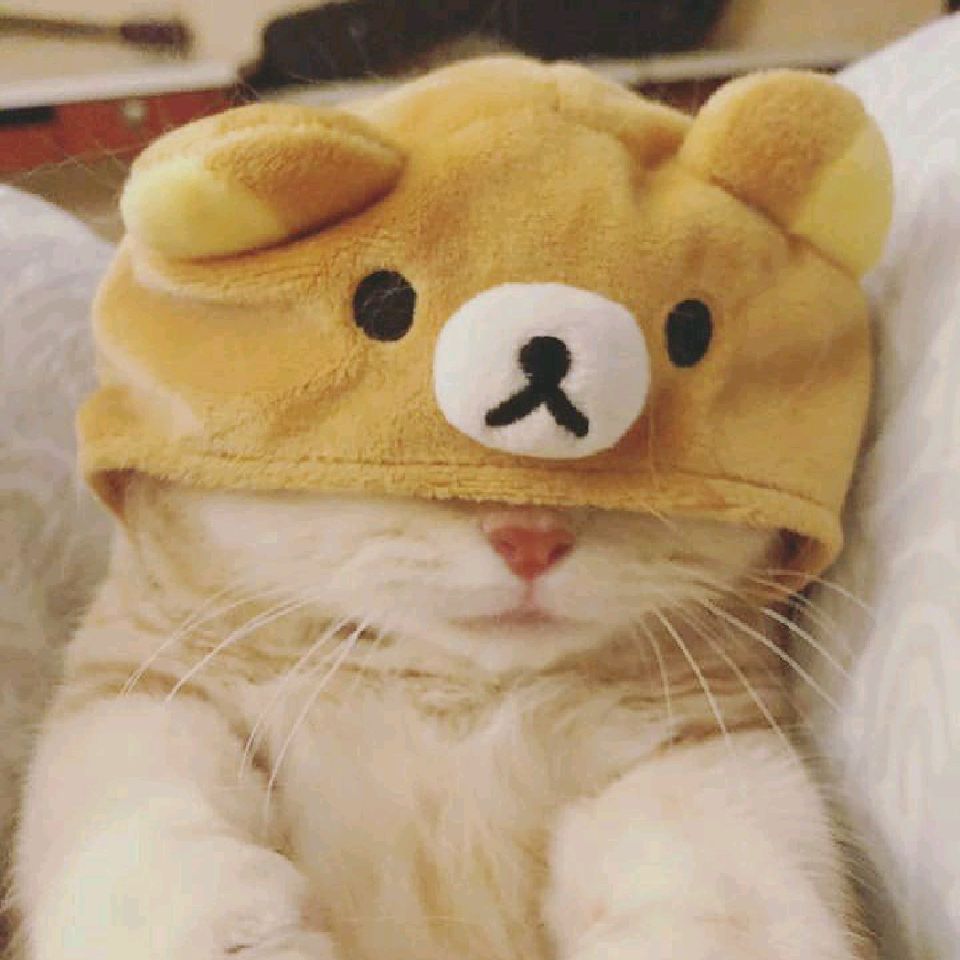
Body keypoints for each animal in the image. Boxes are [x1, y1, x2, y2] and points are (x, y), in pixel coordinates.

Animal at [11, 474, 870, 960]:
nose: (530, 535)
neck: (450, 694)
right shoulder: (136, 691)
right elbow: (144, 797)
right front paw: (231, 925)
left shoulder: (718, 742)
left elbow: (715, 853)